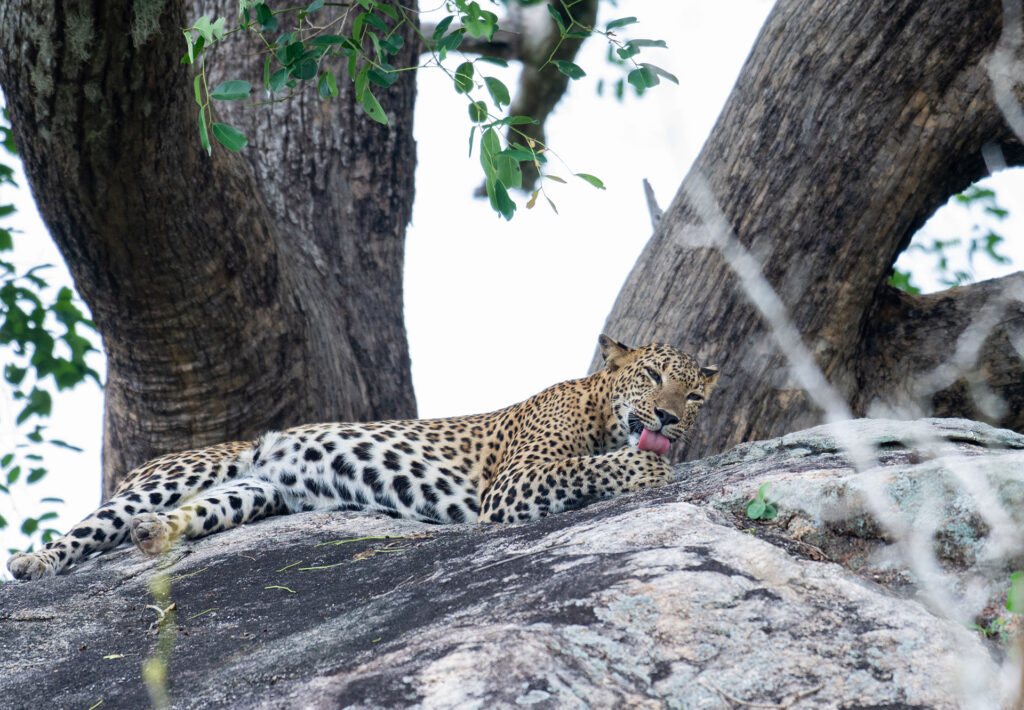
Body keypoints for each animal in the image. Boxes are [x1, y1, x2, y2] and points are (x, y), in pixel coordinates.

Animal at [6, 336, 720, 577]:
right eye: (652, 376)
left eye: (694, 394)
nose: (668, 418)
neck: (601, 407)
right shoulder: (513, 482)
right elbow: (593, 465)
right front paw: (650, 465)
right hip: (179, 473)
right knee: (91, 527)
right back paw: (33, 562)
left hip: (249, 493)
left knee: (176, 519)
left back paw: (154, 535)